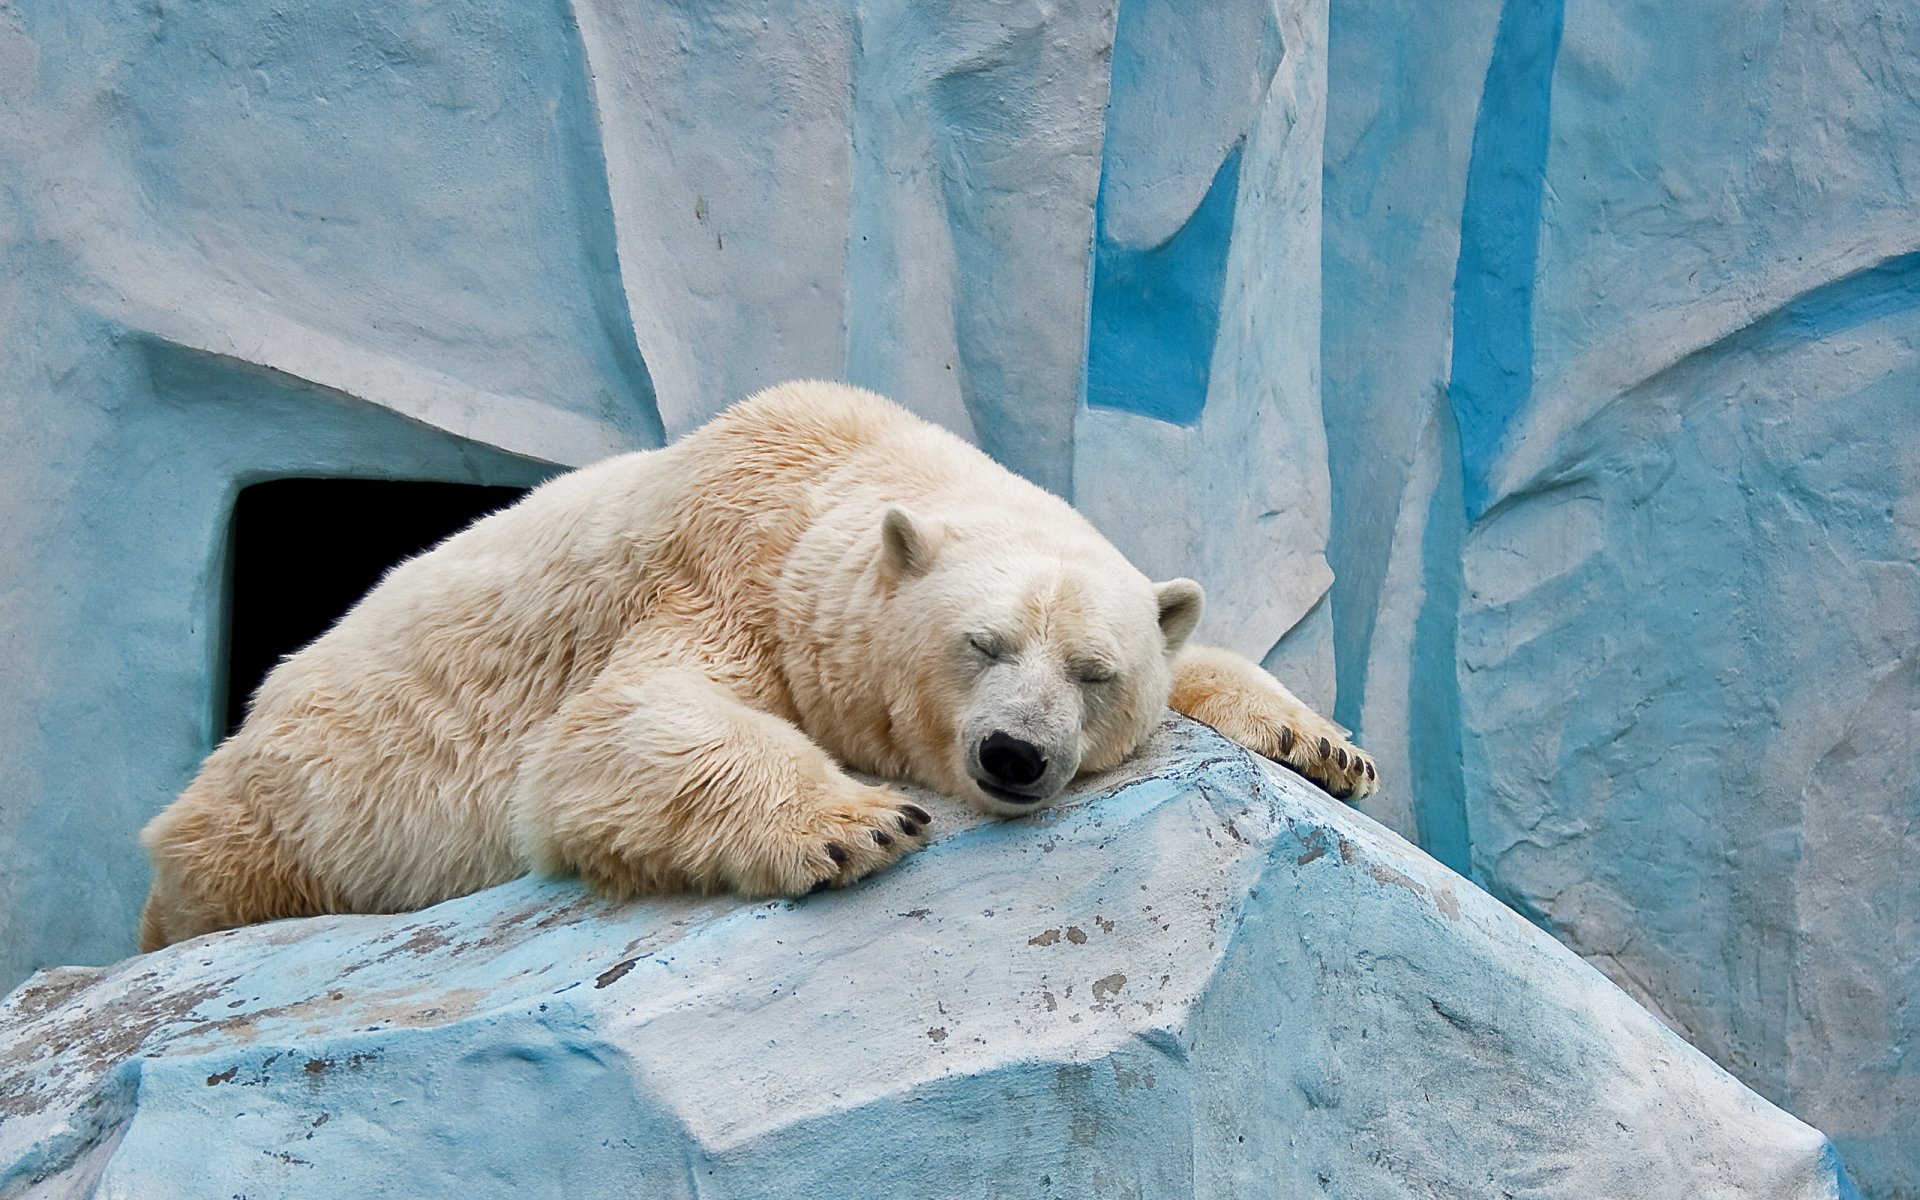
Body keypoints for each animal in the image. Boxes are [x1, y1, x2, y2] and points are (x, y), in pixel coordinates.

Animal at [142, 378, 1374, 948]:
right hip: (282, 815)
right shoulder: (719, 573)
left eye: (1093, 670)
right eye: (981, 643)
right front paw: (857, 822)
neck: (837, 472)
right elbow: (610, 730)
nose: (1015, 756)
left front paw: (1324, 745)